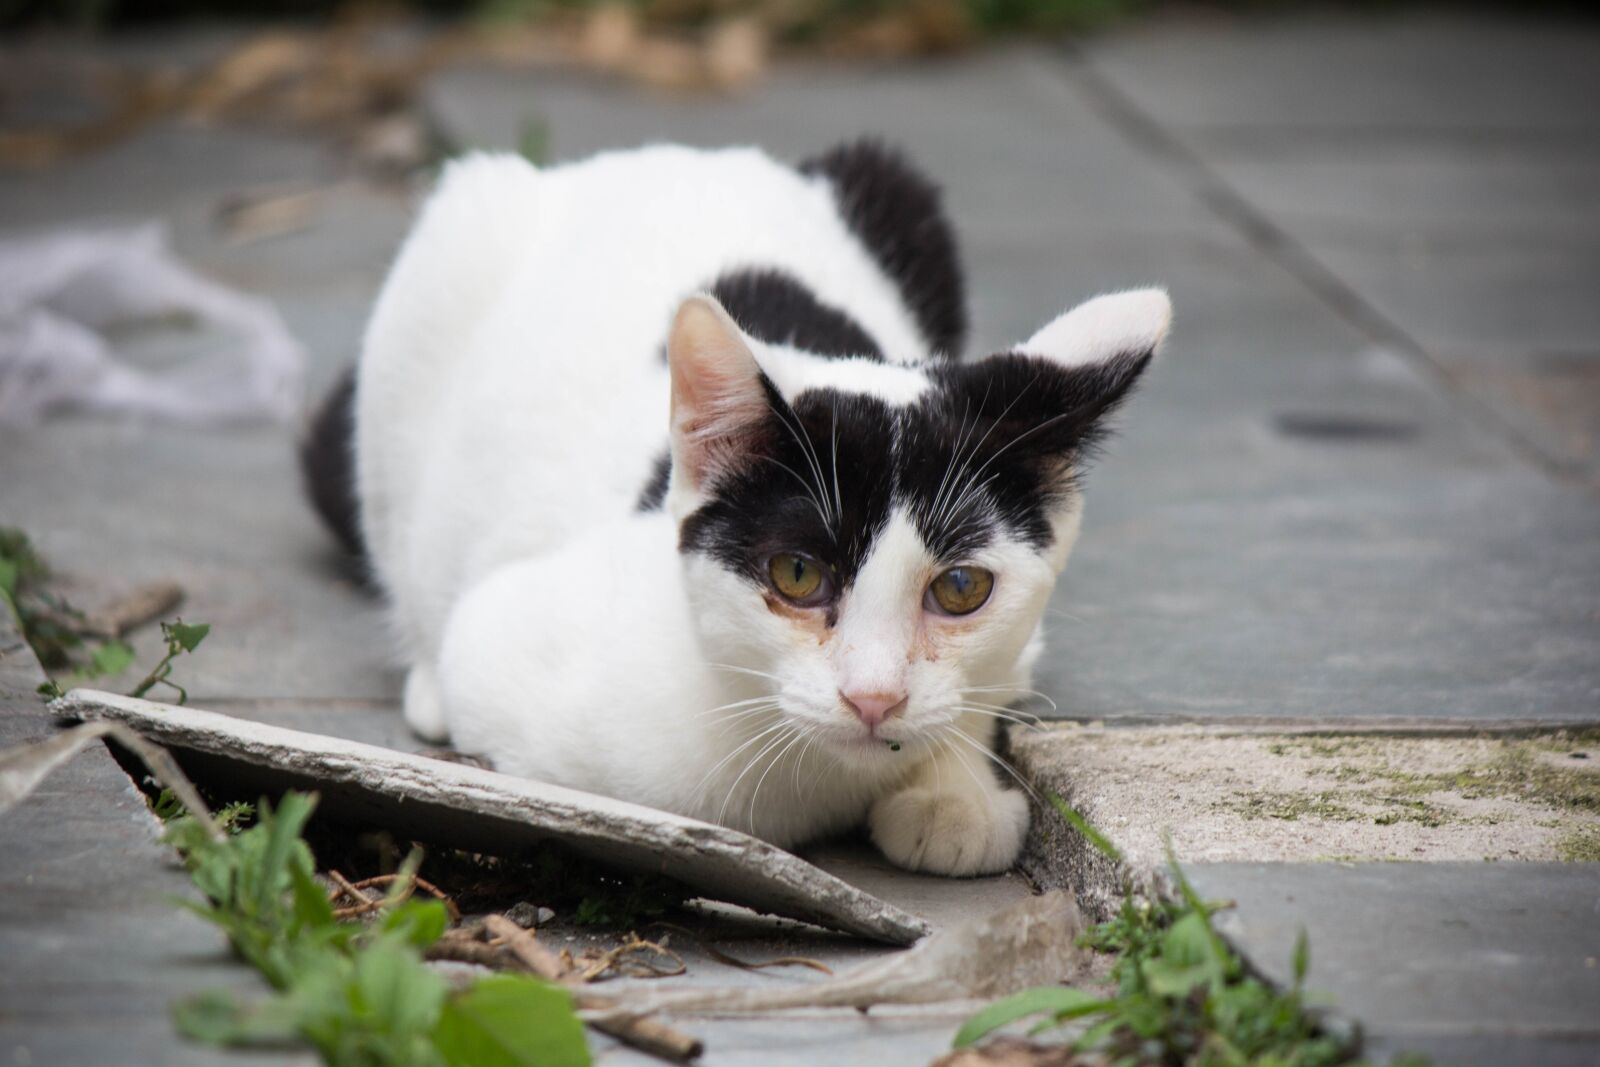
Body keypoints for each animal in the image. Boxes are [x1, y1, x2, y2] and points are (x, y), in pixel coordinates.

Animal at [302, 141, 1177, 876]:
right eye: (796, 574)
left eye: (962, 588)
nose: (874, 699)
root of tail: (674, 153)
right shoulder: (505, 639)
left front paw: (951, 794)